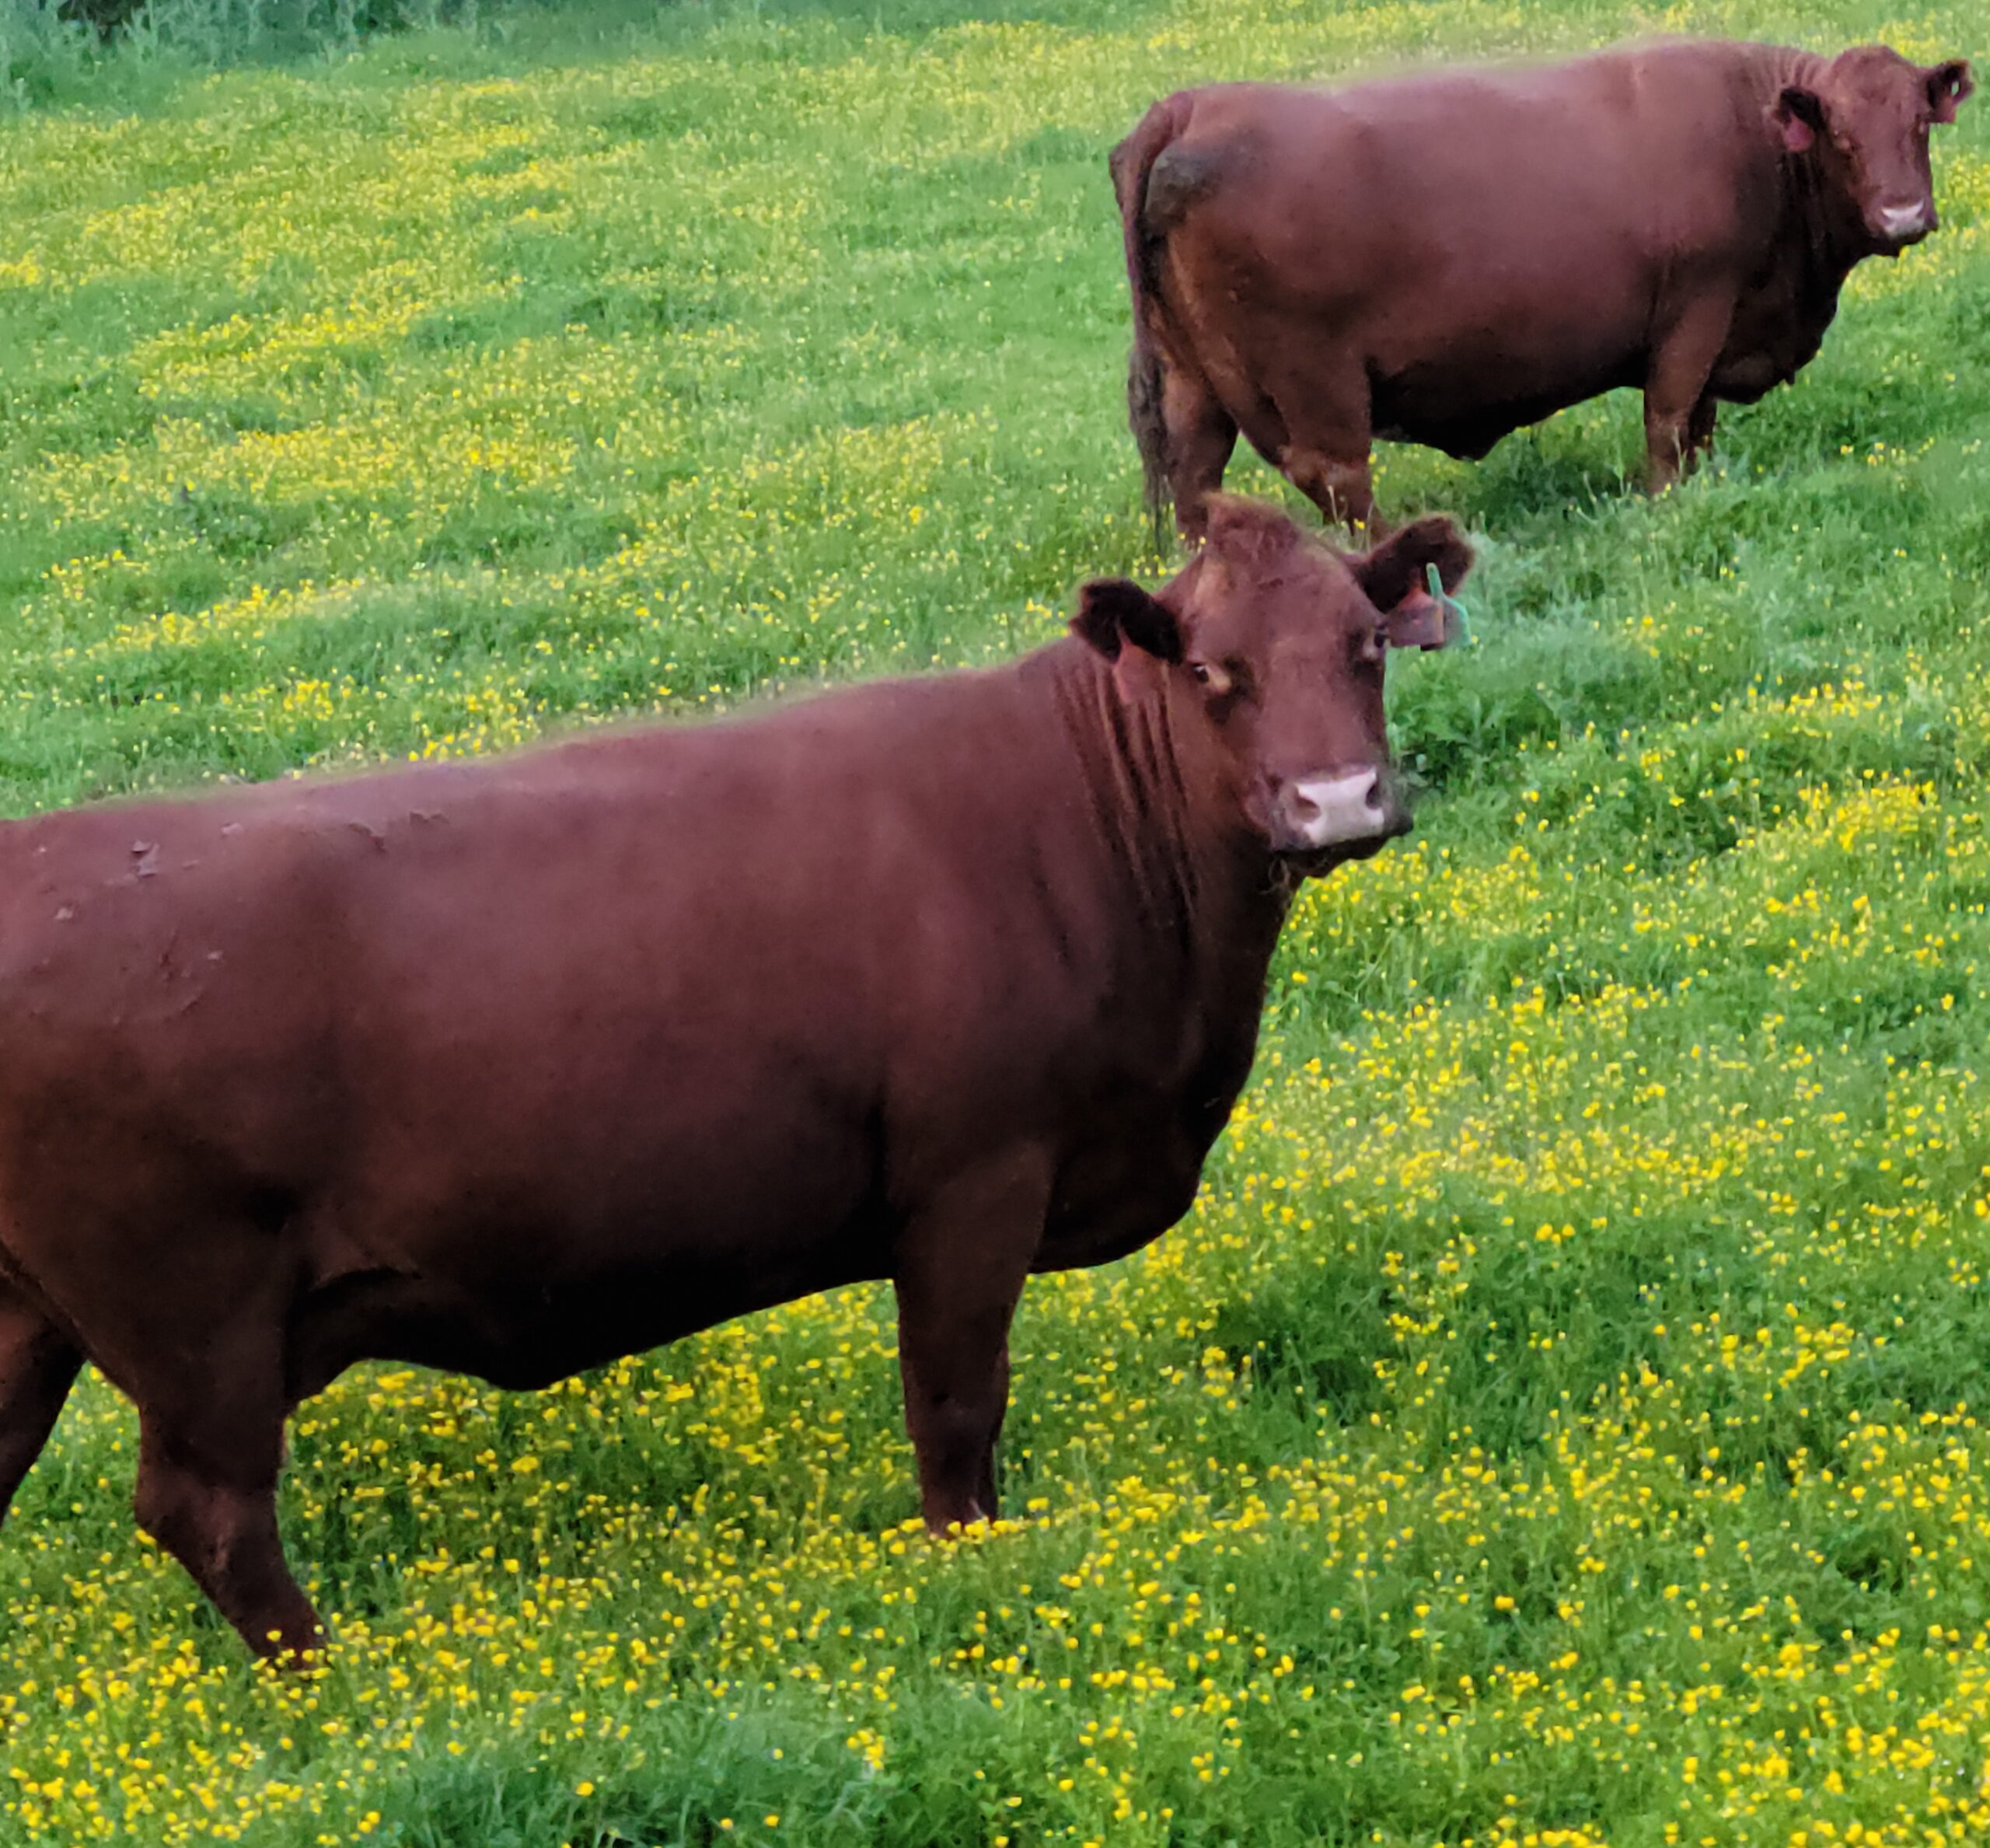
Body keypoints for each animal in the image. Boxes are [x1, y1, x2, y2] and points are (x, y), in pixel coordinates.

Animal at [0, 497, 1472, 1660]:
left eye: (1364, 646)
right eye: (1216, 671)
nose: (1339, 802)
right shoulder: (973, 1178)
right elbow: (956, 1407)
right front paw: (972, 1573)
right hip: (195, 1316)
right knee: (208, 1510)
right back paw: (340, 1679)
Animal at [1112, 39, 1975, 539]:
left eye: (1918, 124)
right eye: (1840, 135)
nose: (1903, 215)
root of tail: (1189, 105)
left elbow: (1697, 428)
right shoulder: (1696, 309)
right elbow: (1668, 424)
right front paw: (1664, 511)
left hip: (1192, 377)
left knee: (1194, 478)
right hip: (1312, 375)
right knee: (1335, 477)